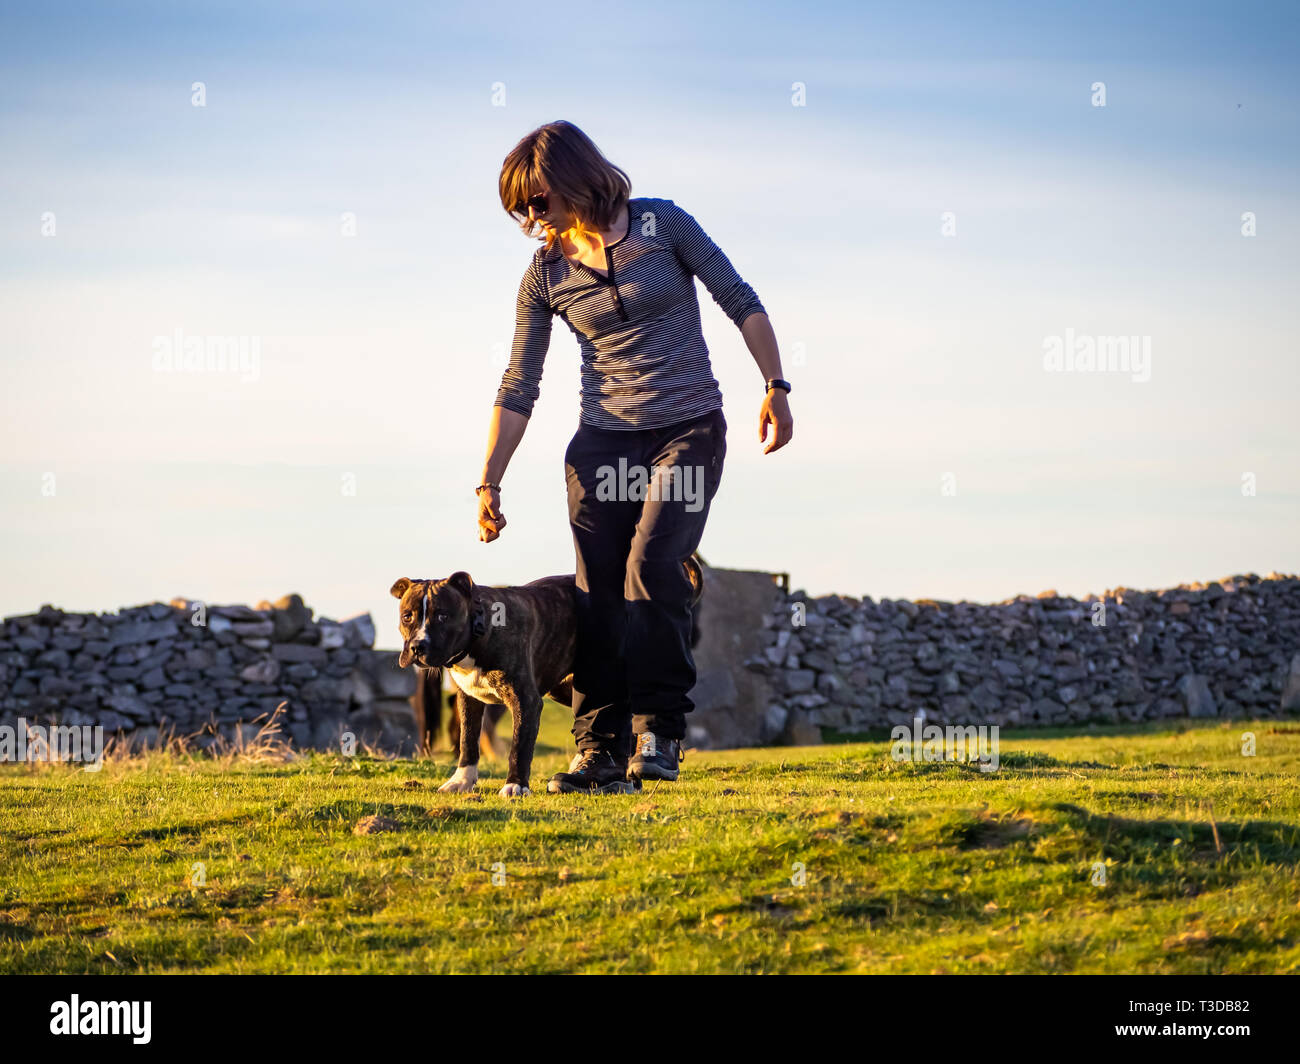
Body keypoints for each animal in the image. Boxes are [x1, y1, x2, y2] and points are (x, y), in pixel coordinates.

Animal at [390, 556, 707, 796]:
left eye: (442, 615)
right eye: (407, 616)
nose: (417, 647)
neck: (479, 629)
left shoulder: (526, 701)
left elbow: (519, 746)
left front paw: (515, 787)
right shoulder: (469, 700)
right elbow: (468, 741)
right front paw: (462, 781)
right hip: (571, 687)